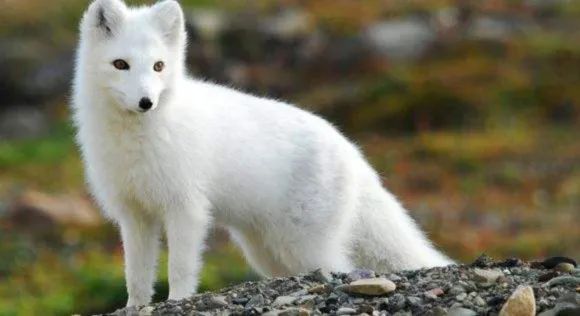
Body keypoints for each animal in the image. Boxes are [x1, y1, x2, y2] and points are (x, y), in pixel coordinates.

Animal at [72, 0, 454, 306]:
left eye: (158, 66)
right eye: (120, 64)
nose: (146, 102)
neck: (135, 140)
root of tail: (352, 152)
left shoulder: (186, 208)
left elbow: (180, 268)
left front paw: (178, 300)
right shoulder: (134, 214)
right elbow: (136, 275)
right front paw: (135, 307)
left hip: (303, 245)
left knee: (342, 268)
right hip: (266, 250)